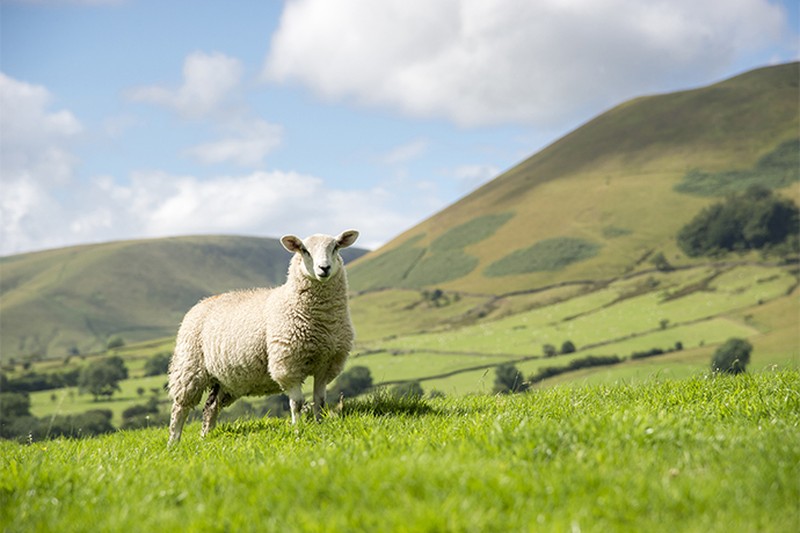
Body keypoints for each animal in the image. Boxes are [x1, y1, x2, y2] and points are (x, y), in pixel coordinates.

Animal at [167, 230, 360, 444]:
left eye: (335, 247)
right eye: (304, 250)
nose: (324, 268)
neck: (322, 321)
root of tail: (200, 303)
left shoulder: (325, 365)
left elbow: (320, 401)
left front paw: (319, 426)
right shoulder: (287, 364)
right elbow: (297, 403)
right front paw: (297, 430)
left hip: (225, 380)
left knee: (210, 406)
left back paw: (205, 437)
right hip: (189, 367)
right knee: (179, 408)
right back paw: (173, 442)